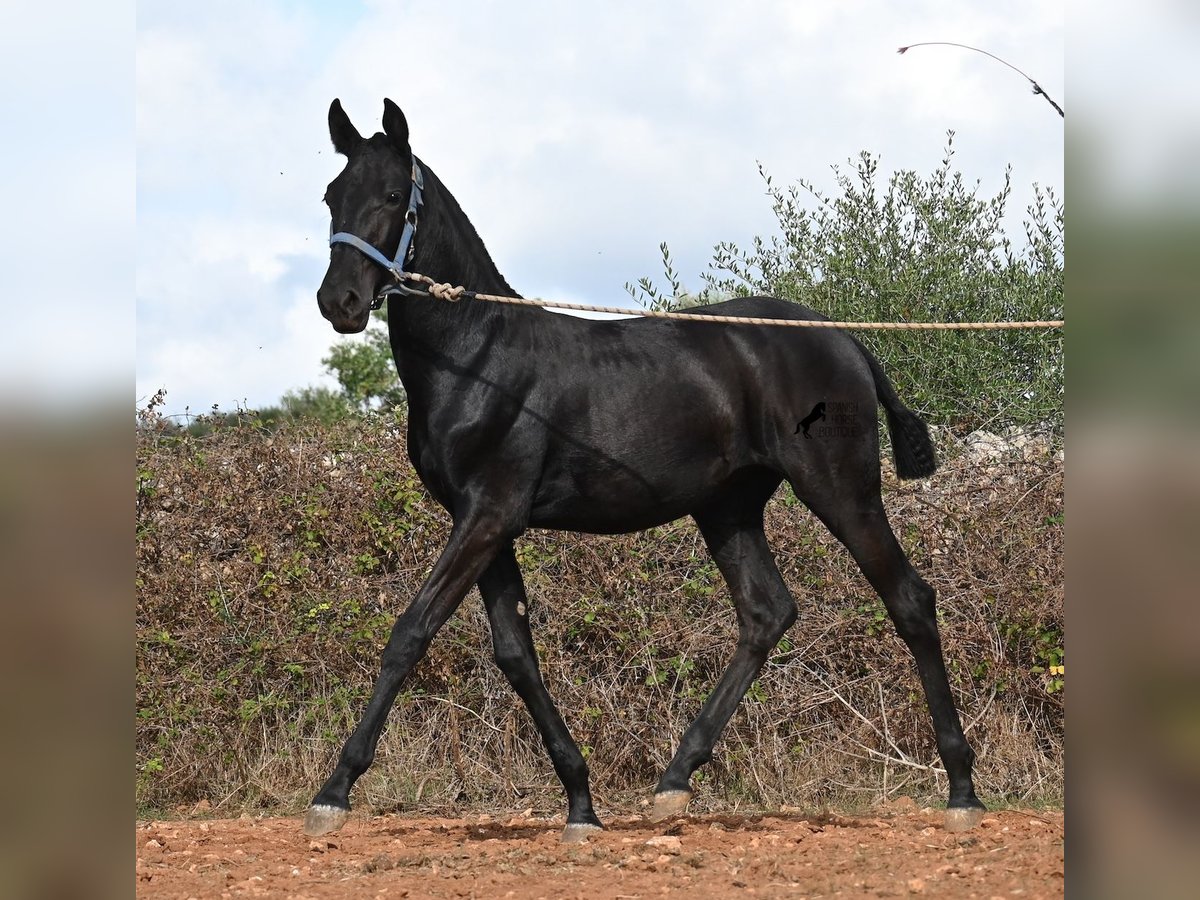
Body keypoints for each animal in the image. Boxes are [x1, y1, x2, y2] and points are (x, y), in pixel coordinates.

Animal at [307, 98, 985, 841]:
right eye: (332, 196)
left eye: (391, 196)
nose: (338, 303)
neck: (480, 356)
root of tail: (847, 342)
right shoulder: (486, 523)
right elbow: (515, 654)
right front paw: (581, 803)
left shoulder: (488, 515)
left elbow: (411, 633)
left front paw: (333, 793)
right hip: (728, 508)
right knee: (766, 612)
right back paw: (674, 781)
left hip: (840, 488)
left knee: (909, 600)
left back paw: (962, 789)